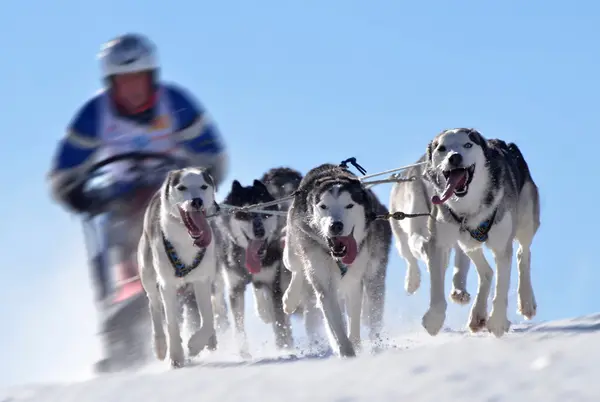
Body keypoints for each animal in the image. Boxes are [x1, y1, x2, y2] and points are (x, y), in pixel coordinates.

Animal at [138, 166, 220, 368]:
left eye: (203, 186)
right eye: (181, 187)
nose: (196, 201)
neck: (186, 239)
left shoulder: (202, 281)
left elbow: (208, 319)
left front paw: (196, 344)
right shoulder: (167, 286)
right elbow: (172, 324)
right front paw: (176, 356)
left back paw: (211, 341)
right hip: (148, 276)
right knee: (154, 306)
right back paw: (160, 345)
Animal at [282, 163, 392, 358]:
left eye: (349, 205)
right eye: (323, 206)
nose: (335, 225)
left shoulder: (354, 282)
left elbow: (353, 320)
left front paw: (354, 345)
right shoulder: (324, 284)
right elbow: (336, 325)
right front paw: (347, 352)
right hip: (293, 250)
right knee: (297, 269)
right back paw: (290, 299)